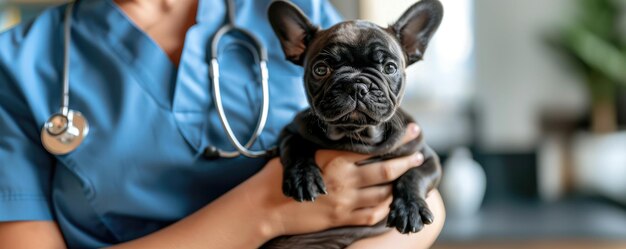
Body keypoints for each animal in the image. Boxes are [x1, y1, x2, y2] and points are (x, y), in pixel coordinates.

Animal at [260, 0, 442, 248]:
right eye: (320, 69)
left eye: (390, 68)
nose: (355, 85)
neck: (356, 135)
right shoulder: (291, 131)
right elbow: (296, 147)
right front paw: (304, 177)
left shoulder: (425, 156)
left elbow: (414, 175)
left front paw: (410, 208)